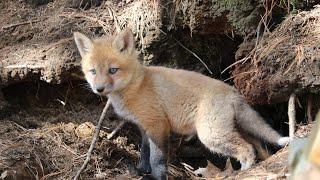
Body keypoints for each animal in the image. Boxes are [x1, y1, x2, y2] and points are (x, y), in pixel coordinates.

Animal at [74, 28, 290, 179]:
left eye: (112, 70)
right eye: (93, 71)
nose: (99, 89)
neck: (136, 85)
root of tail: (232, 92)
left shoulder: (158, 125)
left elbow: (157, 159)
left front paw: (157, 177)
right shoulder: (145, 128)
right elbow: (144, 153)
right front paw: (141, 171)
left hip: (211, 134)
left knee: (247, 150)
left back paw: (243, 172)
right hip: (233, 129)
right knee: (259, 146)